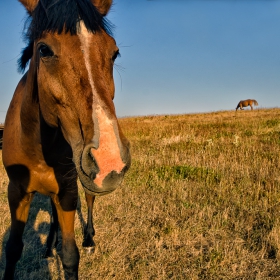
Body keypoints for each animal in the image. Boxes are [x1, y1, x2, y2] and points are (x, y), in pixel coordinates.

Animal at [2, 0, 131, 280]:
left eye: (114, 53)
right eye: (44, 50)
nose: (109, 160)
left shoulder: (69, 191)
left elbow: (71, 255)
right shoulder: (17, 191)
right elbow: (13, 248)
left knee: (90, 200)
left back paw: (89, 240)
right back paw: (50, 245)